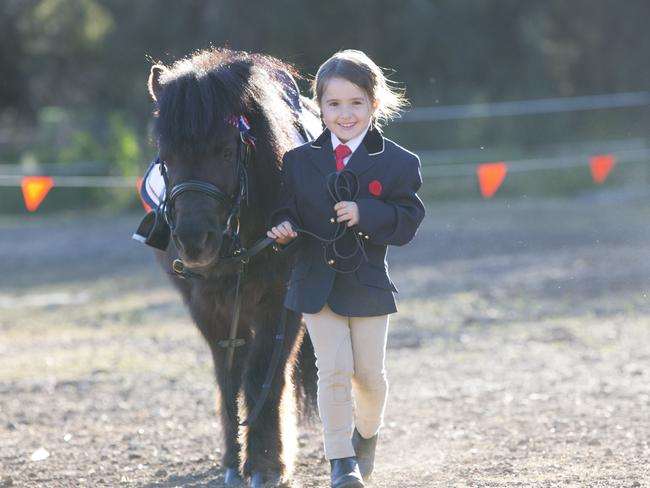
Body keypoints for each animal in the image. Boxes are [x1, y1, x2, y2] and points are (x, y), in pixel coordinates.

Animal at [147, 47, 318, 486]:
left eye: (226, 151)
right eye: (166, 158)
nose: (194, 241)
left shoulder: (280, 306)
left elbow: (263, 376)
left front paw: (266, 462)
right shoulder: (208, 308)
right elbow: (228, 378)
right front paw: (232, 459)